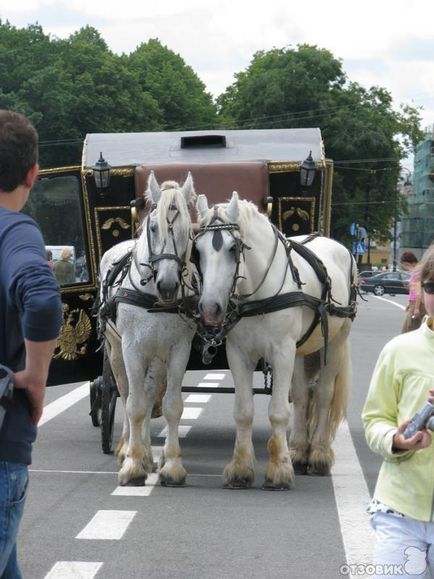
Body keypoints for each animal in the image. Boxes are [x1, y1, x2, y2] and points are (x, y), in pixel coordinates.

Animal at [99, 171, 196, 484]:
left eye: (187, 230)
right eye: (153, 228)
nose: (168, 284)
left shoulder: (179, 350)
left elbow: (172, 405)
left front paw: (172, 465)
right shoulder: (132, 348)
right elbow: (135, 405)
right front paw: (132, 464)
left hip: (156, 357)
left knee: (150, 390)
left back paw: (148, 454)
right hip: (116, 349)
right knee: (127, 391)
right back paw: (127, 448)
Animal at [195, 194, 358, 490]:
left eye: (233, 249)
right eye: (197, 251)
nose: (210, 309)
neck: (259, 294)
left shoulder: (282, 353)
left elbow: (279, 411)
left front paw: (279, 471)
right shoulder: (239, 355)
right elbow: (244, 411)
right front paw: (240, 469)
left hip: (336, 343)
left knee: (324, 394)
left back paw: (318, 455)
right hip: (301, 350)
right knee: (303, 396)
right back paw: (298, 451)